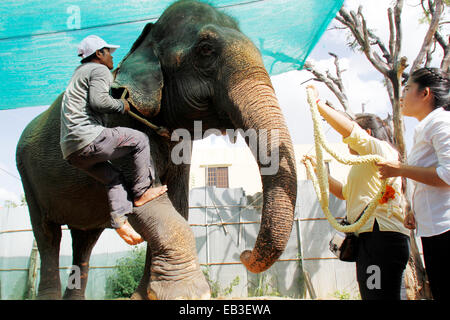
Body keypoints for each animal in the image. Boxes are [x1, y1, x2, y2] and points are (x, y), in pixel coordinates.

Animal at [15, 0, 298, 300]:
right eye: (205, 50)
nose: (243, 254)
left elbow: (177, 202)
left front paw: (143, 296)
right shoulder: (119, 125)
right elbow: (146, 197)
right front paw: (188, 293)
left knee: (84, 240)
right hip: (28, 178)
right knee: (47, 235)